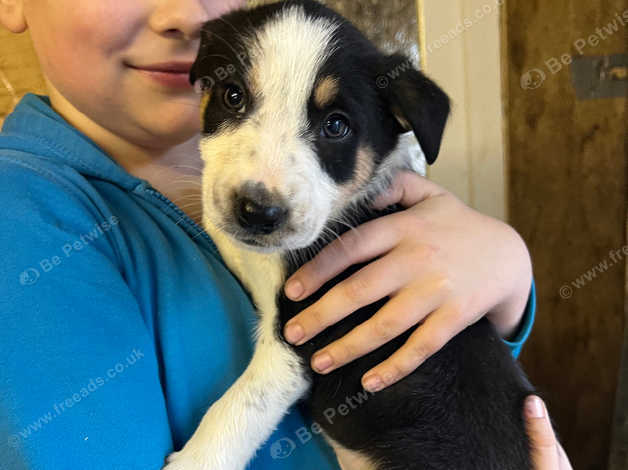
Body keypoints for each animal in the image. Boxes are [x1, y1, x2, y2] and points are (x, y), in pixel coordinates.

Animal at [164, 0, 532, 470]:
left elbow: (239, 407)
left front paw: (193, 460)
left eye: (336, 126)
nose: (257, 213)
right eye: (233, 96)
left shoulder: (299, 342)